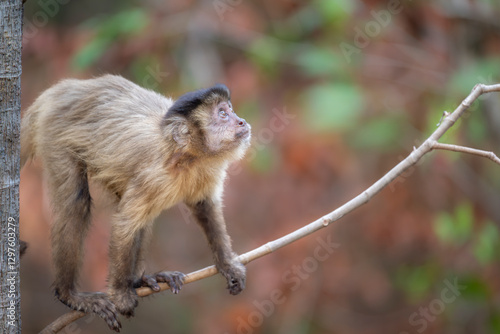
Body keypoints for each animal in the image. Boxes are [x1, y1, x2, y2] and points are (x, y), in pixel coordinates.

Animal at [20, 75, 250, 332]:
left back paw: (140, 281)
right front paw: (121, 294)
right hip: (55, 132)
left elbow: (204, 206)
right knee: (76, 205)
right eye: (223, 114)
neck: (185, 155)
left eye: (230, 109)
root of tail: (63, 90)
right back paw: (69, 294)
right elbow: (125, 223)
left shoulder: (206, 170)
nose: (241, 121)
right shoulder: (155, 175)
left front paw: (227, 265)